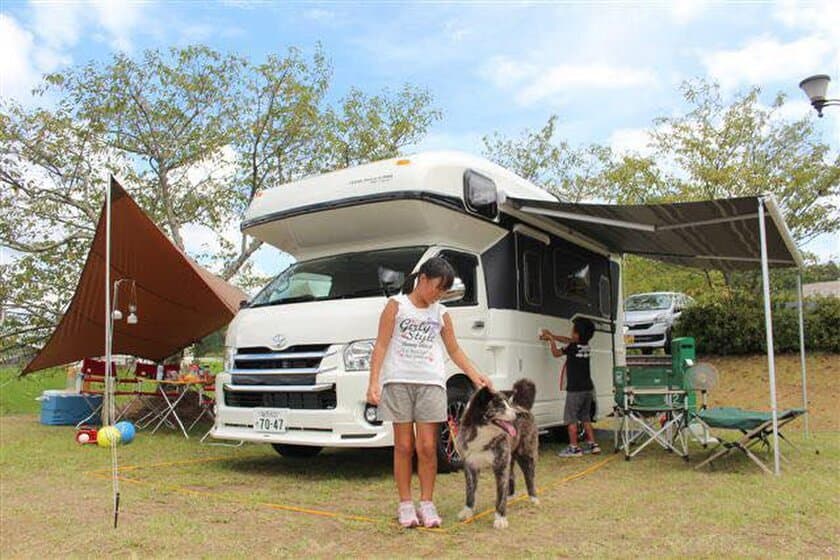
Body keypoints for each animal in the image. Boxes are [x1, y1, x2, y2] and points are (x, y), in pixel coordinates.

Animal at [452, 378, 540, 528]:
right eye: (500, 406)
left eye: (508, 404)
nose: (518, 414)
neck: (482, 434)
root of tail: (522, 406)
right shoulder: (470, 466)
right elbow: (470, 491)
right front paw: (468, 511)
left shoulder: (500, 466)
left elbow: (500, 495)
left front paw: (500, 518)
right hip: (510, 458)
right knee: (511, 476)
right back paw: (510, 496)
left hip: (526, 455)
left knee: (530, 478)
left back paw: (533, 498)